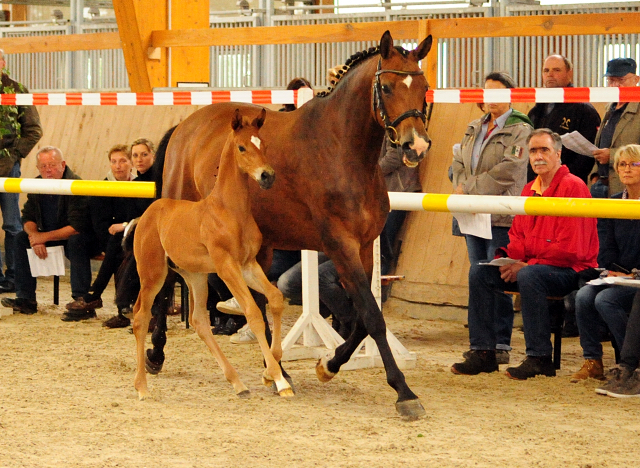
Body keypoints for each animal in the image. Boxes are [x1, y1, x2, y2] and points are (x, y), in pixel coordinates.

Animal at [131, 109, 292, 398]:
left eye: (263, 144)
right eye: (241, 147)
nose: (267, 176)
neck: (229, 210)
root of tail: (150, 212)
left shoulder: (248, 265)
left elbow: (274, 298)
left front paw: (269, 373)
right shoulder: (227, 266)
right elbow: (253, 313)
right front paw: (278, 378)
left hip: (195, 276)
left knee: (198, 321)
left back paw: (237, 383)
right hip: (153, 274)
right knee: (140, 317)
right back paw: (142, 387)